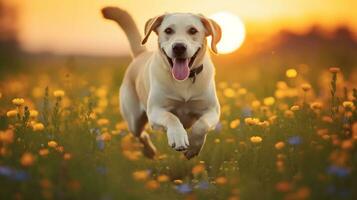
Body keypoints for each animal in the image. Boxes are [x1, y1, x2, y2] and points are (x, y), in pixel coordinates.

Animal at [101, 6, 221, 159]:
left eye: (193, 30)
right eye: (168, 30)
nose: (179, 47)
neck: (183, 81)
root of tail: (141, 54)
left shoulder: (213, 110)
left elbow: (201, 125)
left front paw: (193, 147)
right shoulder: (155, 110)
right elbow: (171, 117)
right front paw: (178, 137)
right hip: (134, 119)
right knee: (140, 135)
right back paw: (149, 151)